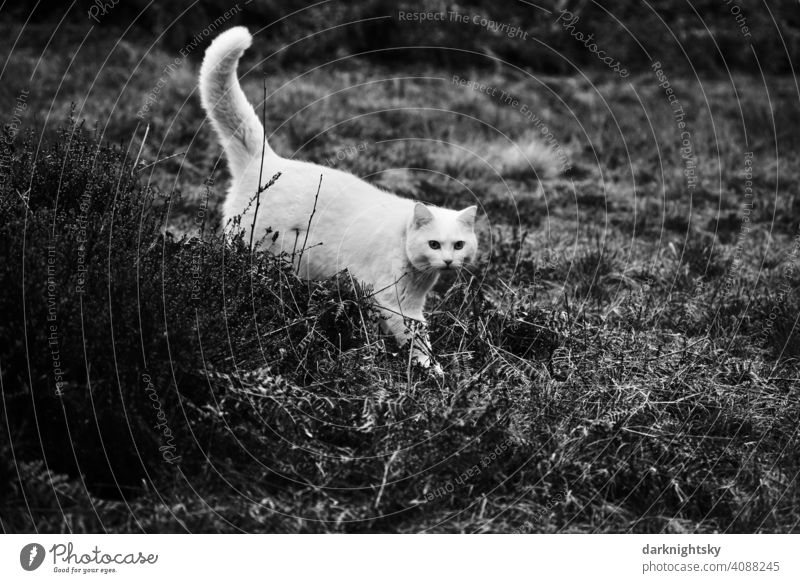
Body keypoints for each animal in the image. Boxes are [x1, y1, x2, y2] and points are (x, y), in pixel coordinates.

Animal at [200, 26, 478, 370]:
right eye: (434, 244)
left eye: (459, 245)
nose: (449, 260)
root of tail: (265, 161)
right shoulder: (396, 302)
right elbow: (417, 339)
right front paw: (432, 370)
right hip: (253, 255)